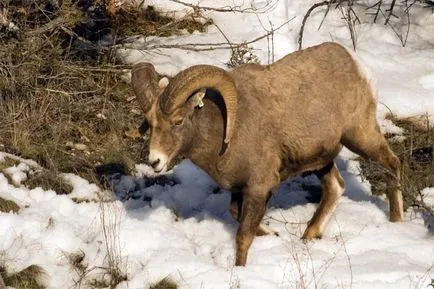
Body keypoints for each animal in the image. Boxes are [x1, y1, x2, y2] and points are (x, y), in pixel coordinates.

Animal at [131, 42, 404, 266]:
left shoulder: (259, 187)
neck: (225, 132)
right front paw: (274, 234)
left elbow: (243, 236)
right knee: (336, 187)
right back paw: (309, 235)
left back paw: (396, 222)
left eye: (177, 122)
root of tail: (356, 63)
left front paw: (240, 270)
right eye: (150, 123)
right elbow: (237, 215)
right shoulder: (241, 189)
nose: (155, 161)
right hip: (321, 161)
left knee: (392, 163)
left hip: (360, 136)